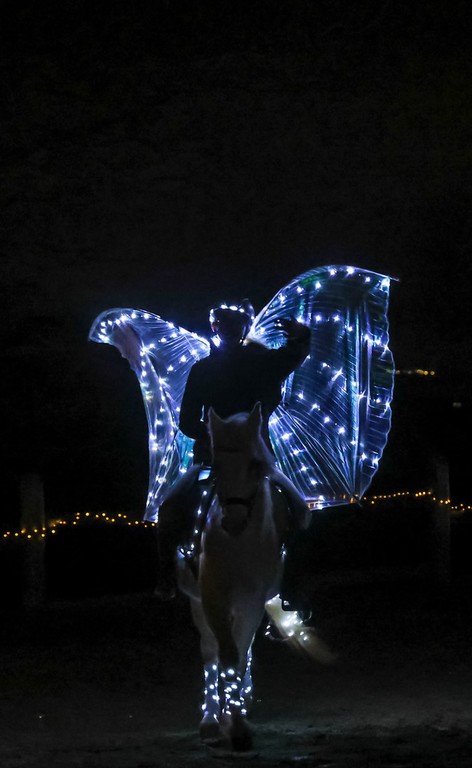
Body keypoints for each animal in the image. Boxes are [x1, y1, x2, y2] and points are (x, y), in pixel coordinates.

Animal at [176, 402, 320, 751]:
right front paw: (226, 722)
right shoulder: (212, 599)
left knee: (246, 648)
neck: (239, 542)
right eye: (216, 465)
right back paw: (211, 717)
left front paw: (237, 718)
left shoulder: (252, 600)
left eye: (255, 464)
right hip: (198, 604)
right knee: (210, 653)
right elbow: (224, 655)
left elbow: (240, 656)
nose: (233, 521)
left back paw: (243, 700)